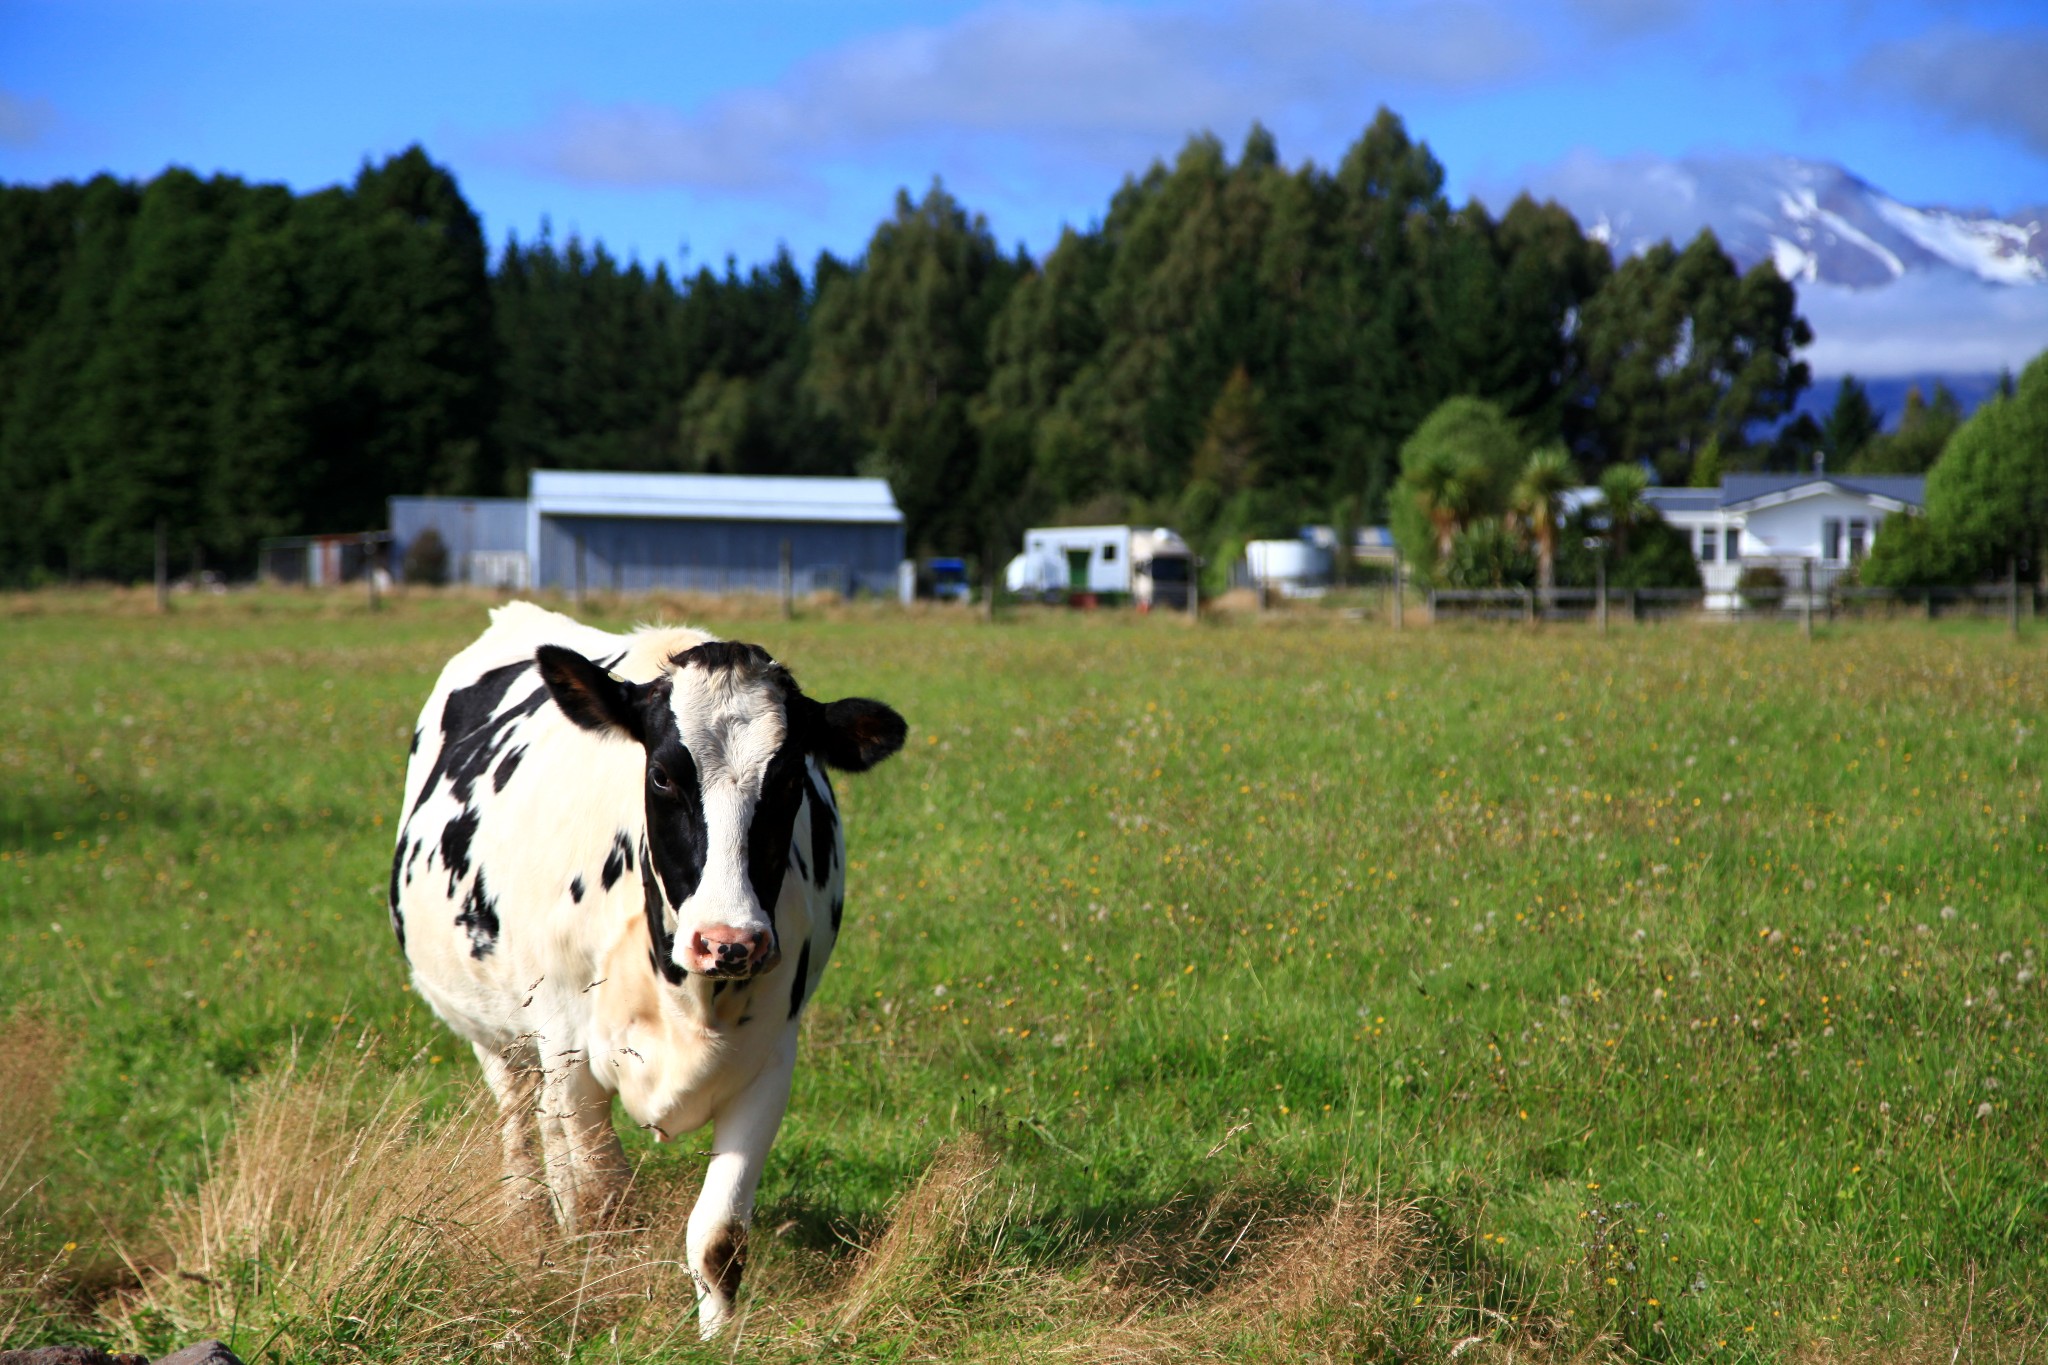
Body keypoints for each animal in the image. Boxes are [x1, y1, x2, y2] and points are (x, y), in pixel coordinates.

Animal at [391, 605, 905, 1334]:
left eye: (787, 781)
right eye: (662, 774)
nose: (728, 940)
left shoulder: (771, 1057)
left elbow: (719, 1237)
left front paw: (719, 1337)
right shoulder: (570, 1054)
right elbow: (597, 1206)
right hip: (498, 1033)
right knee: (521, 1128)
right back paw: (526, 1223)